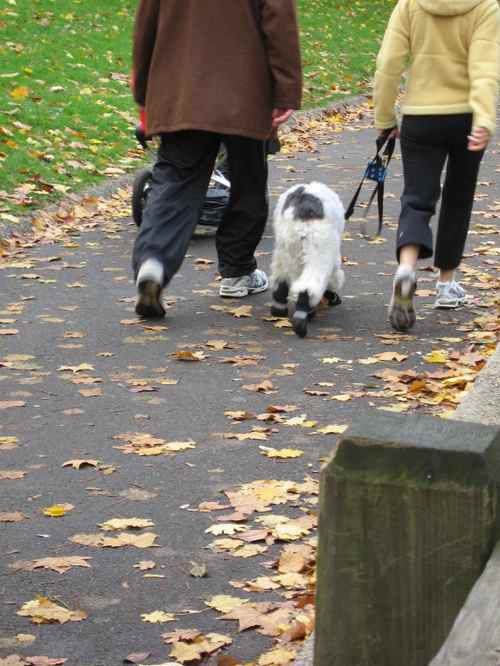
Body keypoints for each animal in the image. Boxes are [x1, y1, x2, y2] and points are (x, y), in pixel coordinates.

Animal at [270, 182, 344, 338]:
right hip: (318, 251)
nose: (337, 301)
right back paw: (303, 319)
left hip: (285, 250)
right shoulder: (331, 258)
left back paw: (279, 310)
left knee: (281, 281)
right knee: (308, 286)